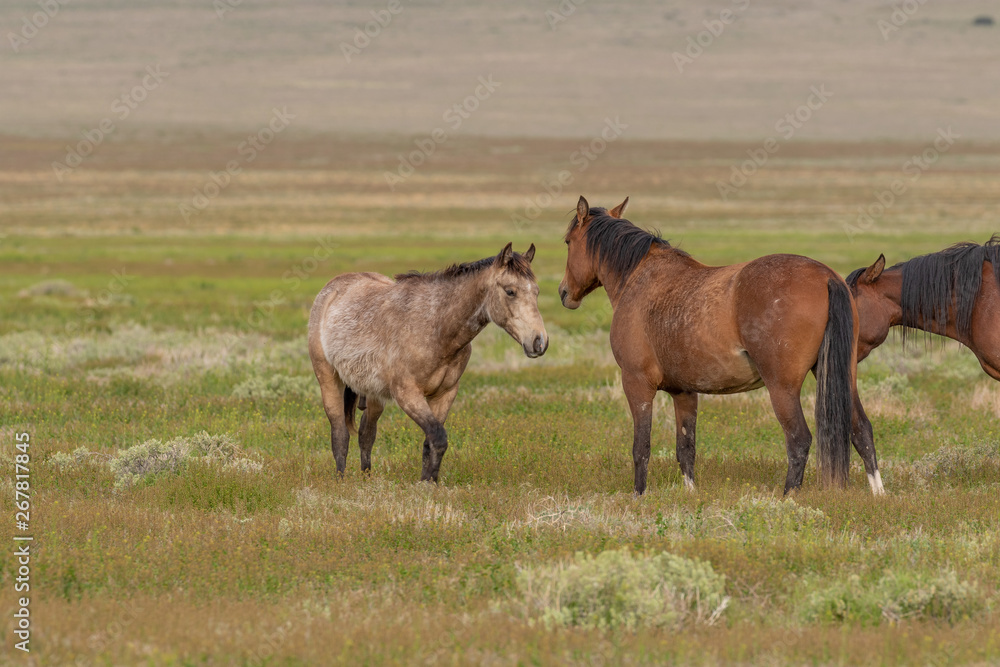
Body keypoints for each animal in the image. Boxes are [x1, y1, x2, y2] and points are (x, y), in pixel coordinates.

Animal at [308, 243, 548, 482]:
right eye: (510, 291)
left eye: (536, 292)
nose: (540, 342)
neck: (434, 326)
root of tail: (330, 290)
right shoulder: (407, 394)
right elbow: (438, 437)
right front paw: (426, 483)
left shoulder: (445, 394)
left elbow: (430, 442)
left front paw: (428, 482)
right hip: (329, 381)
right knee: (340, 434)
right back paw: (341, 480)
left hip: (374, 395)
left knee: (366, 435)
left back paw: (367, 478)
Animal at [558, 196, 883, 496]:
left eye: (567, 242)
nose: (564, 293)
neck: (639, 279)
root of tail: (826, 276)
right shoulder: (684, 392)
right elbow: (685, 448)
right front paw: (690, 494)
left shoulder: (636, 384)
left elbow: (642, 447)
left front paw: (639, 496)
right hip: (842, 377)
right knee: (861, 430)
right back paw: (878, 493)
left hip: (782, 388)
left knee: (799, 439)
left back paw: (788, 497)